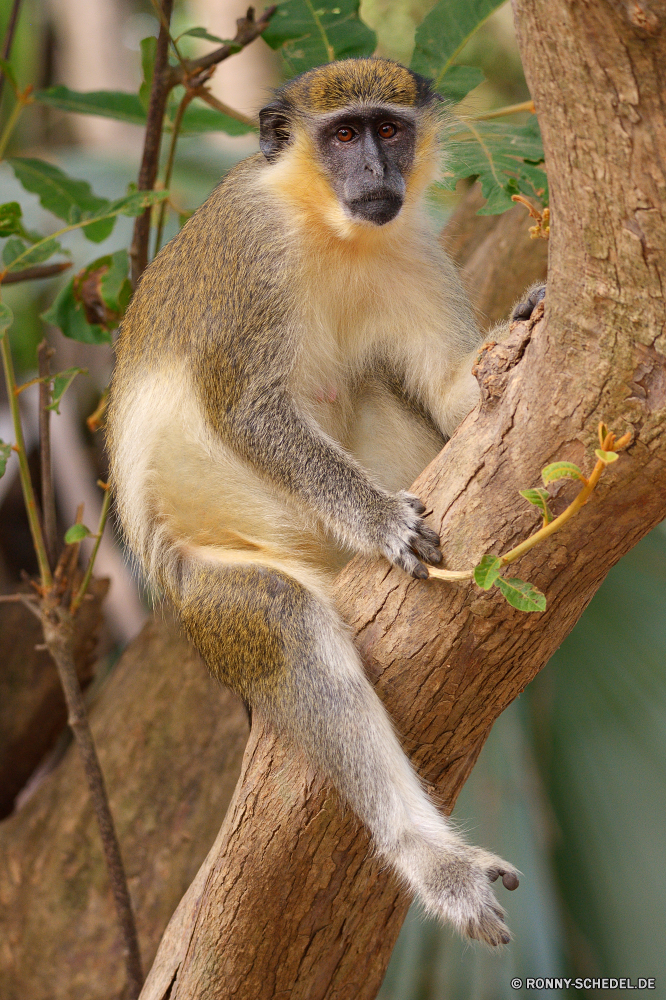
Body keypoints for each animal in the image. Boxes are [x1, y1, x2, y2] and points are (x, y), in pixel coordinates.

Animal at [107, 54, 524, 944]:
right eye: (342, 136)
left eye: (390, 130)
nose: (375, 174)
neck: (332, 231)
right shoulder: (250, 253)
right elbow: (247, 410)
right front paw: (379, 518)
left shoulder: (416, 248)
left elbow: (452, 392)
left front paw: (520, 327)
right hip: (208, 596)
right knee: (288, 624)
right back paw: (430, 858)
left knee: (376, 385)